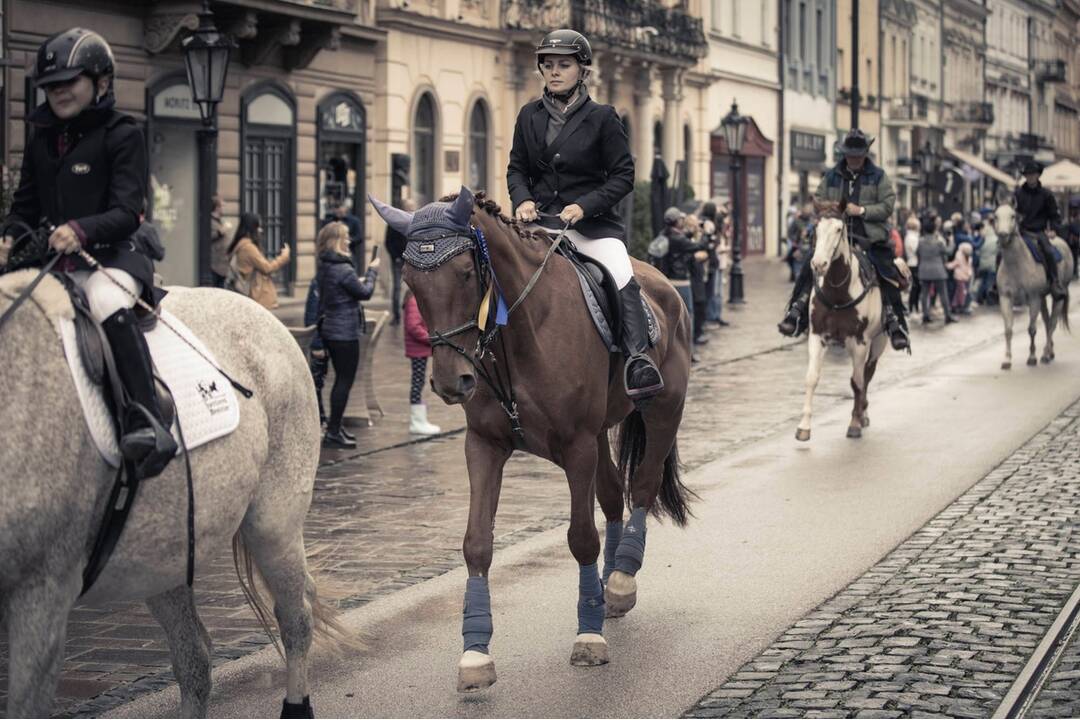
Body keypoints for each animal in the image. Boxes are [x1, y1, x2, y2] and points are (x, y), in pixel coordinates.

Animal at [371, 188, 691, 695]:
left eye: (466, 273)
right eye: (410, 280)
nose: (451, 382)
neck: (518, 334)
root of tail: (662, 280)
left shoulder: (576, 447)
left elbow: (581, 538)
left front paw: (588, 636)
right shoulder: (484, 445)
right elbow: (476, 543)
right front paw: (475, 653)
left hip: (663, 410)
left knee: (641, 486)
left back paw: (621, 580)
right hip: (601, 431)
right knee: (612, 496)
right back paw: (608, 590)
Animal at [794, 199, 885, 442]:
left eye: (838, 229)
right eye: (815, 228)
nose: (818, 264)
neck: (838, 292)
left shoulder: (860, 342)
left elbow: (857, 382)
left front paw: (854, 423)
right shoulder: (817, 336)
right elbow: (811, 377)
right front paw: (804, 427)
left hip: (879, 341)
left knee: (867, 374)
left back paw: (862, 414)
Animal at [989, 202, 1067, 371]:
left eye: (1013, 216)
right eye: (996, 216)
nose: (1003, 235)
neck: (1017, 264)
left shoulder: (1033, 298)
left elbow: (1032, 329)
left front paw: (1032, 357)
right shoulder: (1005, 298)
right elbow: (1008, 329)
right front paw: (1007, 360)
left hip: (1057, 297)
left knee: (1052, 323)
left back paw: (1045, 355)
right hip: (1043, 298)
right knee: (1047, 321)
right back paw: (1049, 352)